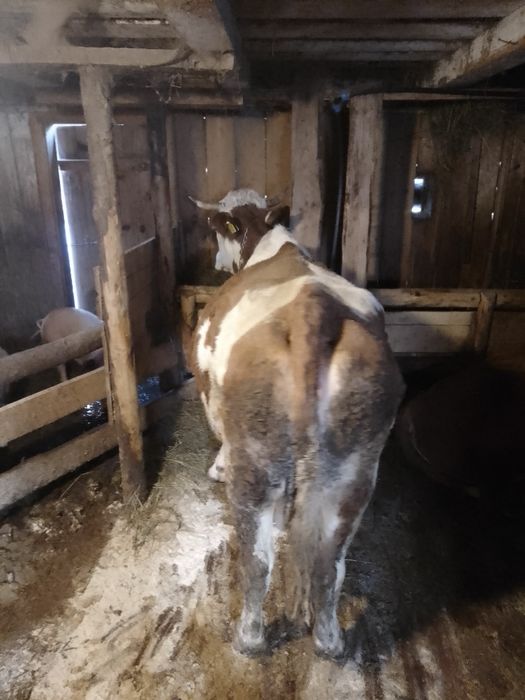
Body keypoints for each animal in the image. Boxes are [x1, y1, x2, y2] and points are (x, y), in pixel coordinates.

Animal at [190, 189, 404, 659]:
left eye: (220, 228)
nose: (214, 262)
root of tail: (312, 307)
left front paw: (216, 467)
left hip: (255, 461)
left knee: (256, 558)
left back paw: (249, 638)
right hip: (356, 469)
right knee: (331, 561)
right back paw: (329, 640)